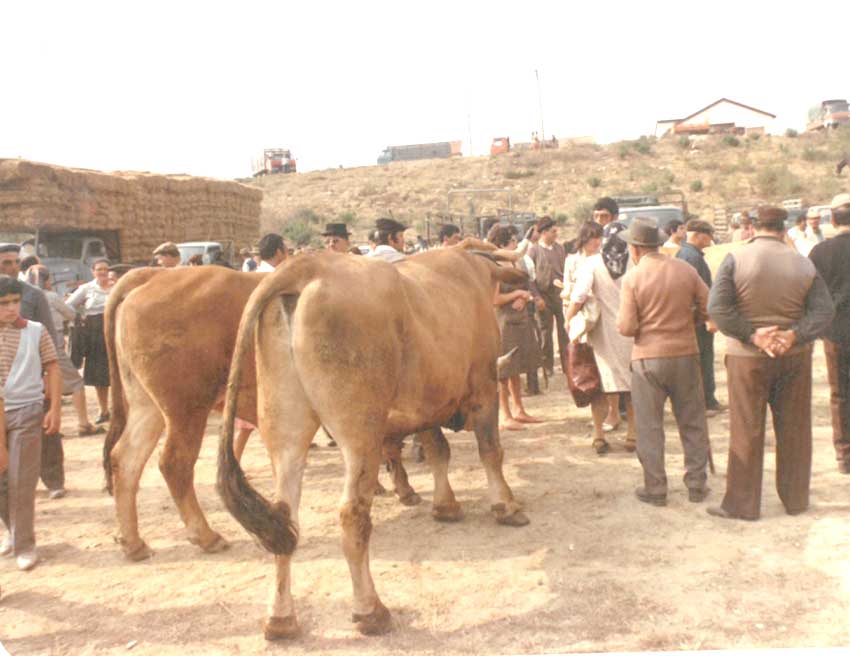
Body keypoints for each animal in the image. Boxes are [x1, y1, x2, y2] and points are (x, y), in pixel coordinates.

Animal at [102, 266, 423, 562]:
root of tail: (152, 275)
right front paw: (404, 489)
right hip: (186, 409)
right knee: (174, 464)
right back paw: (206, 536)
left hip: (147, 406)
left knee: (125, 459)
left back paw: (133, 542)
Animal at [217, 242, 531, 640]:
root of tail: (307, 265)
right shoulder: (484, 388)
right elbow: (490, 451)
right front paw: (506, 506)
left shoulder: (427, 404)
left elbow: (438, 452)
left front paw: (445, 506)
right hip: (360, 432)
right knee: (352, 515)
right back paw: (371, 610)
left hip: (285, 430)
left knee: (283, 518)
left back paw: (281, 619)